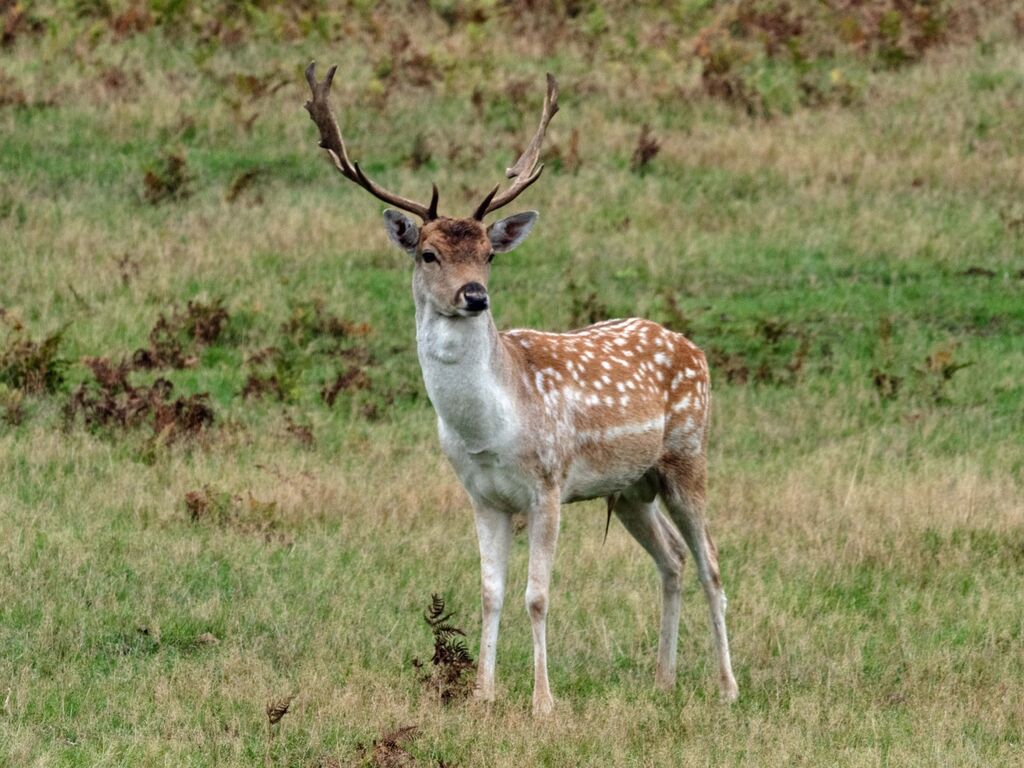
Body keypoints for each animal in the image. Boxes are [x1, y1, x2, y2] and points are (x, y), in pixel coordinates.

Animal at [303, 62, 738, 715]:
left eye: (489, 253)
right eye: (428, 253)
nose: (474, 295)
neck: (488, 430)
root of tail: (694, 347)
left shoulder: (548, 485)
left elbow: (537, 596)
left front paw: (543, 703)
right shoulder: (481, 495)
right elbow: (490, 592)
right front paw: (482, 695)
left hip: (688, 454)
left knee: (711, 559)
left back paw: (728, 687)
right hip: (631, 486)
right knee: (673, 557)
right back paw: (663, 679)